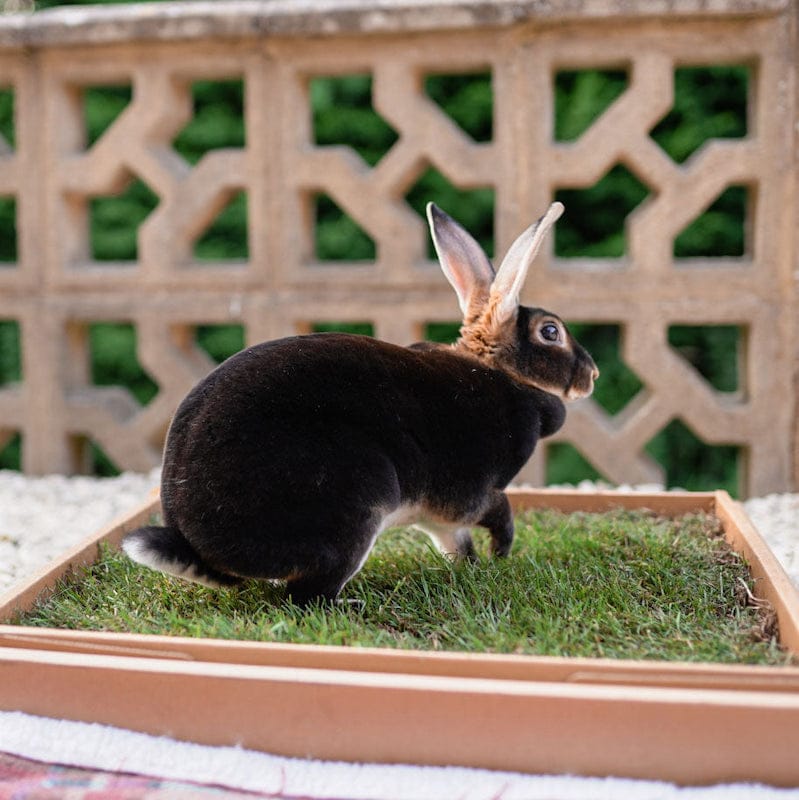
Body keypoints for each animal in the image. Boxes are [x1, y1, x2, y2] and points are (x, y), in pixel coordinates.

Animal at [122, 201, 599, 606]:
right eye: (551, 332)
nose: (592, 375)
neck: (499, 371)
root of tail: (200, 550)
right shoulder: (471, 495)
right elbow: (500, 510)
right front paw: (502, 553)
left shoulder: (439, 518)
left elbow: (455, 543)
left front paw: (475, 567)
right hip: (357, 502)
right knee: (308, 598)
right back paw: (353, 603)